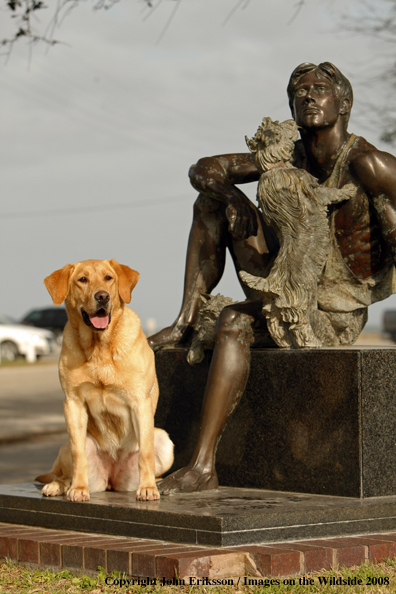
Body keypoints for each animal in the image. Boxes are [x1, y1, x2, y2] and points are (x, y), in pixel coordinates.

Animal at [36, 260, 173, 500]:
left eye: (109, 278)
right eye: (82, 279)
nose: (102, 297)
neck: (99, 346)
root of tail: (111, 480)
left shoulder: (140, 402)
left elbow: (145, 454)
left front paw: (147, 488)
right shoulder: (73, 402)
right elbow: (78, 454)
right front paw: (78, 488)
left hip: (164, 440)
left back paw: (157, 483)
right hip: (67, 447)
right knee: (63, 473)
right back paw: (59, 486)